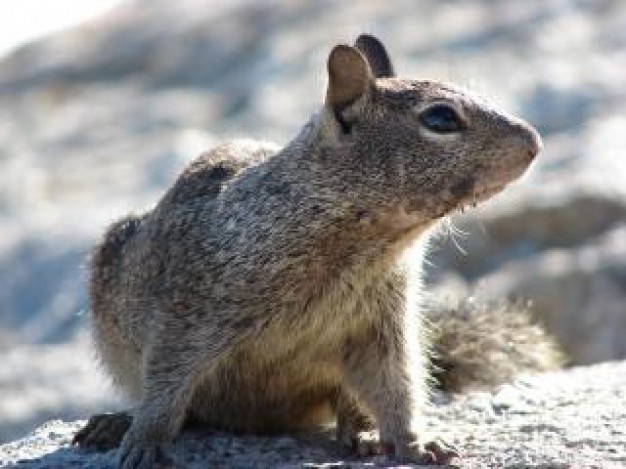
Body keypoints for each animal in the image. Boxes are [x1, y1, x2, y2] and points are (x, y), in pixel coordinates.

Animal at [72, 34, 560, 466]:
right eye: (441, 120)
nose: (535, 142)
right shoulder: (189, 312)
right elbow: (166, 384)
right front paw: (144, 441)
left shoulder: (381, 326)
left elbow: (397, 386)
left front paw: (414, 442)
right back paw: (114, 423)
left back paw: (363, 434)